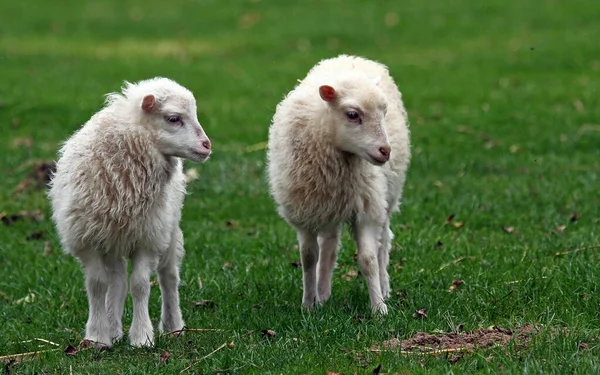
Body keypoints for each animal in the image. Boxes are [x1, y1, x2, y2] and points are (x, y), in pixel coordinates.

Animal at [47, 77, 211, 350]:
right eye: (174, 118)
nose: (207, 146)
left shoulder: (147, 239)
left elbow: (141, 285)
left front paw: (142, 337)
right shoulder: (88, 240)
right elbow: (97, 285)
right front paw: (97, 336)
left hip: (168, 229)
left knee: (169, 277)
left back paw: (173, 325)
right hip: (114, 237)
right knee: (117, 282)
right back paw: (113, 329)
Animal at [268, 54, 412, 316]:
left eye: (384, 112)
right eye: (353, 114)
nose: (385, 151)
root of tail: (351, 57)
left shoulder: (367, 208)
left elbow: (367, 259)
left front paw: (379, 308)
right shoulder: (306, 213)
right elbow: (308, 257)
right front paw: (308, 304)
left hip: (388, 196)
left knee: (384, 241)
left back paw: (384, 287)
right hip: (330, 205)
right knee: (329, 245)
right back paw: (323, 293)